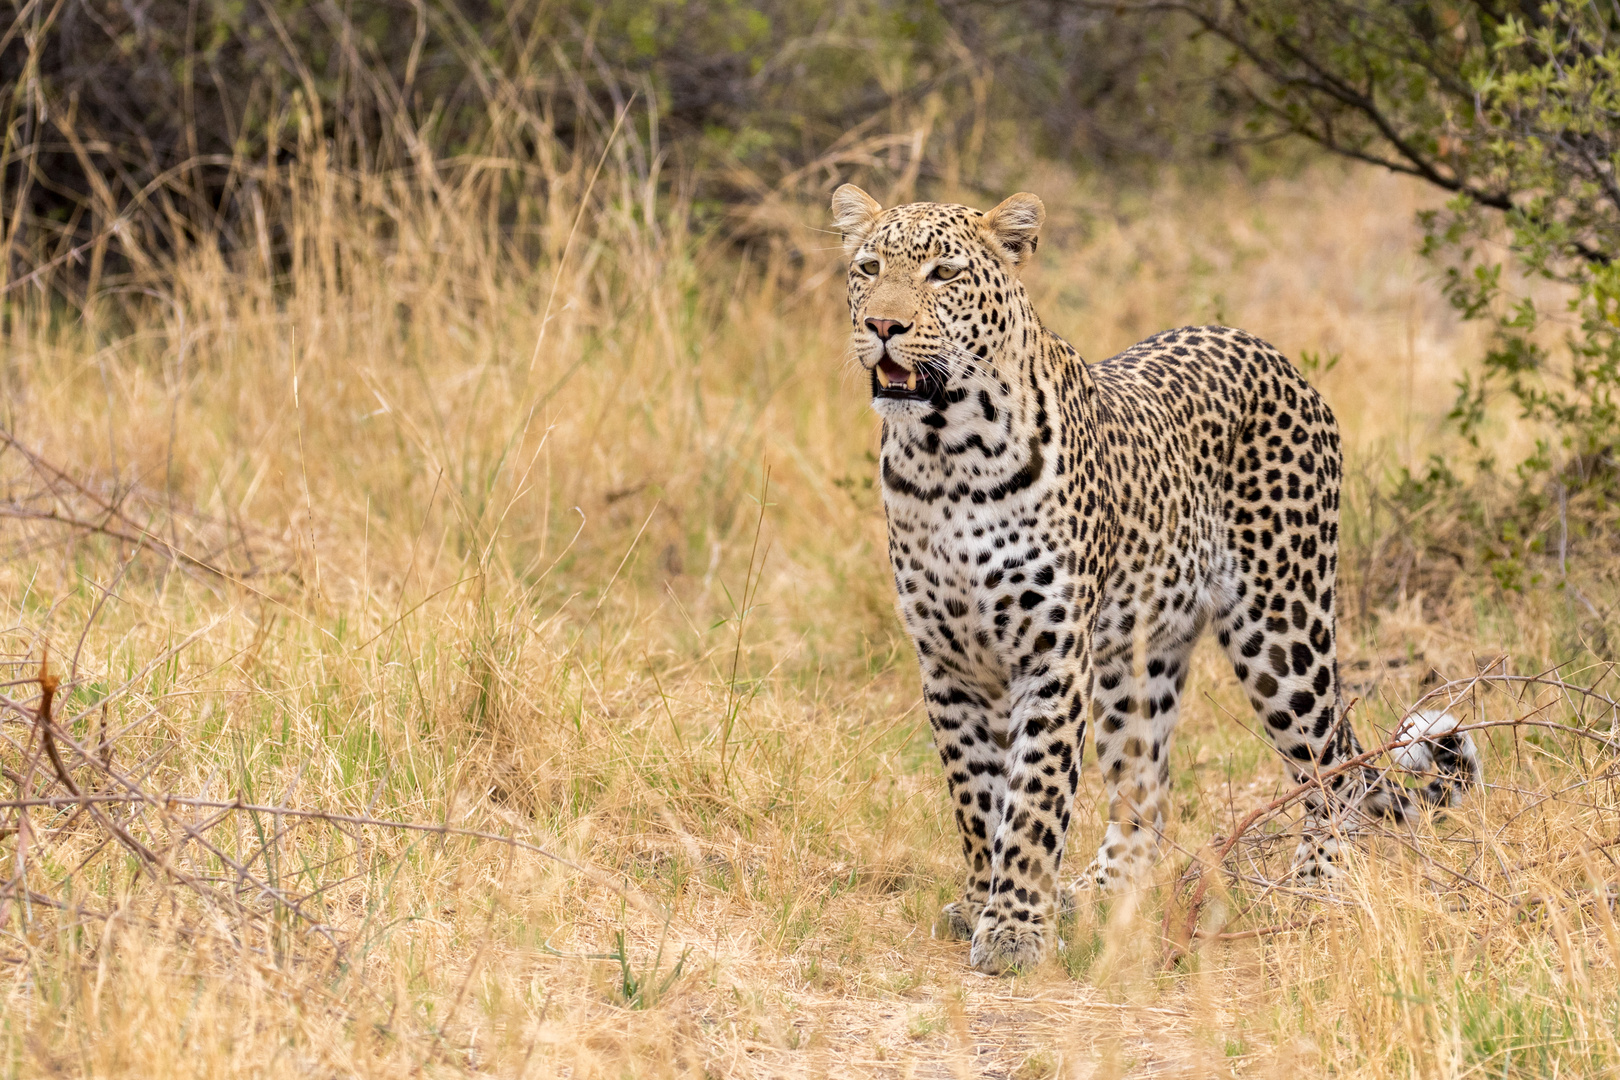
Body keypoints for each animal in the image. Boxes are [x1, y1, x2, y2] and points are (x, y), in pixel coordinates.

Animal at [835, 186, 1483, 977]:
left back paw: (1315, 885)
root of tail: (1274, 355)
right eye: (869, 268)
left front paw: (1016, 929)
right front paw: (983, 903)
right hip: (1138, 660)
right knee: (1147, 793)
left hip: (1283, 632)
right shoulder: (948, 663)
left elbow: (1033, 801)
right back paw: (1091, 893)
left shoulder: (1051, 657)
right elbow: (977, 797)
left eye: (944, 274)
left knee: (1336, 768)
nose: (882, 325)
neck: (943, 451)